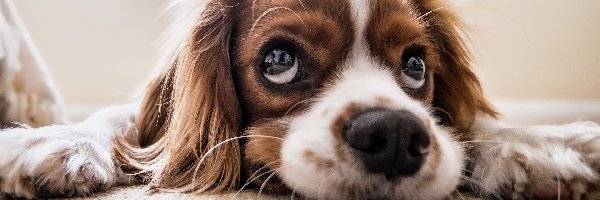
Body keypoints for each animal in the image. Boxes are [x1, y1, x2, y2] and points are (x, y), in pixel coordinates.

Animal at [1, 0, 600, 199]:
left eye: (415, 66)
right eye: (279, 61)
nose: (395, 135)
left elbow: (472, 123)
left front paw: (539, 145)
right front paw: (57, 141)